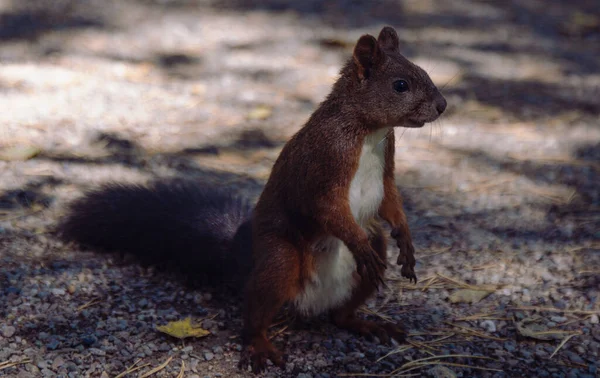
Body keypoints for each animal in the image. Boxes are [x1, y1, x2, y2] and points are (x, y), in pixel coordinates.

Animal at [58, 27, 448, 376]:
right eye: (400, 85)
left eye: (424, 71)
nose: (442, 106)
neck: (369, 132)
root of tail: (309, 302)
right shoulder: (323, 165)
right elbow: (327, 208)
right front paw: (360, 242)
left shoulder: (386, 170)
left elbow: (391, 201)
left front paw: (407, 242)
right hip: (280, 261)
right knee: (256, 311)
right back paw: (260, 346)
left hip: (367, 250)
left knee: (342, 313)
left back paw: (368, 323)